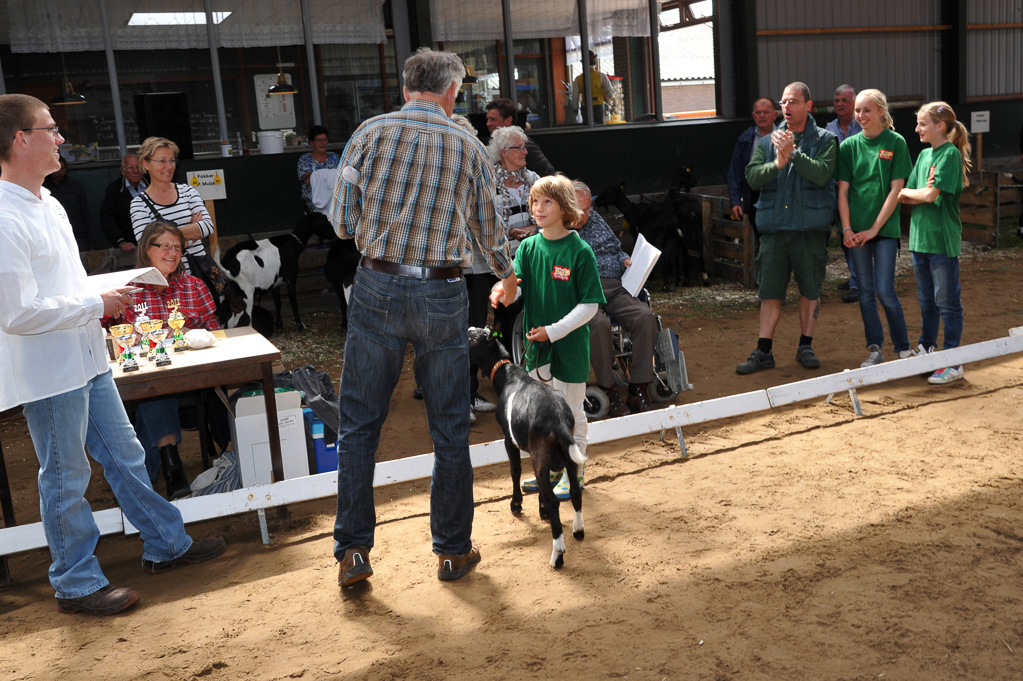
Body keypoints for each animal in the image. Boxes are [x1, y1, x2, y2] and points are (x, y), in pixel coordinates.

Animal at [468, 327, 589, 564]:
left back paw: (557, 556)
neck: (507, 376)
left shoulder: (509, 439)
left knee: (554, 502)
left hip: (540, 455)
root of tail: (559, 420)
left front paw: (516, 504)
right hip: (567, 455)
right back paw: (578, 531)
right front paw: (541, 511)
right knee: (575, 492)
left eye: (475, 339)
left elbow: (514, 470)